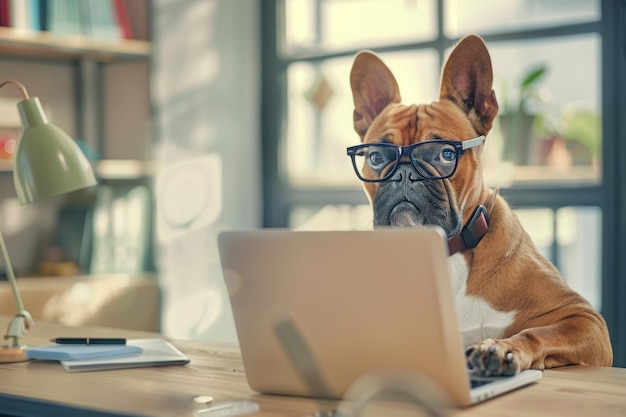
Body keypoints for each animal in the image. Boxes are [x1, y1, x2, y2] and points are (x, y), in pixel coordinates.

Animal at [348, 34, 612, 376]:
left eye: (445, 154)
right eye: (378, 157)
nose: (404, 173)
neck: (451, 251)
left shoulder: (583, 318)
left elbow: (538, 332)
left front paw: (500, 348)